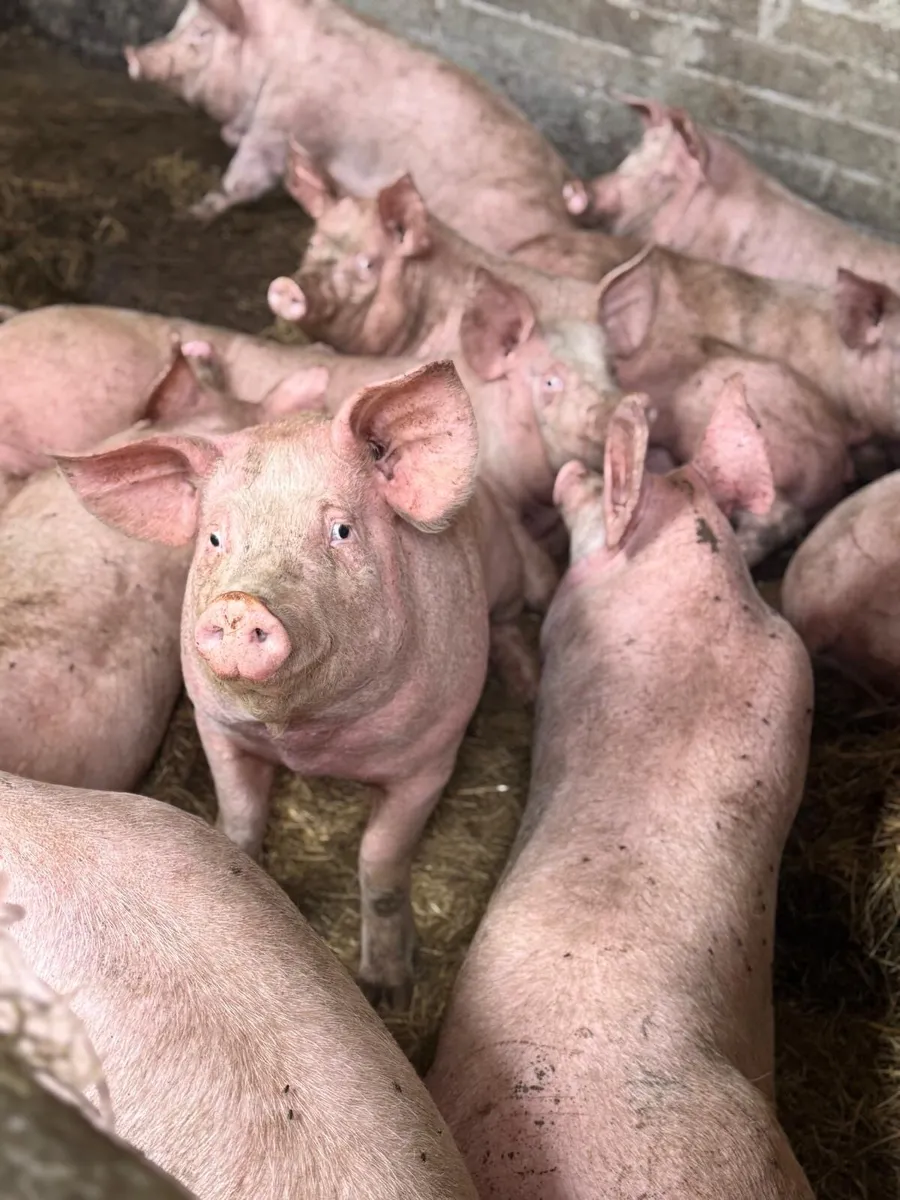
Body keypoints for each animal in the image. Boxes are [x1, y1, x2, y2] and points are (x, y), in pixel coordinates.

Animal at [57, 361, 545, 1008]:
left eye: (341, 530)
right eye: (215, 539)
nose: (240, 604)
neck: (306, 741)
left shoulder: (432, 756)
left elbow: (380, 860)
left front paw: (386, 988)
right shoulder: (216, 727)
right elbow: (240, 818)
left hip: (506, 575)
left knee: (512, 619)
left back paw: (530, 686)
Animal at [122, 0, 577, 259]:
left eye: (202, 33)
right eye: (177, 22)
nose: (131, 56)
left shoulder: (282, 123)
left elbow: (246, 176)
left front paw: (191, 213)